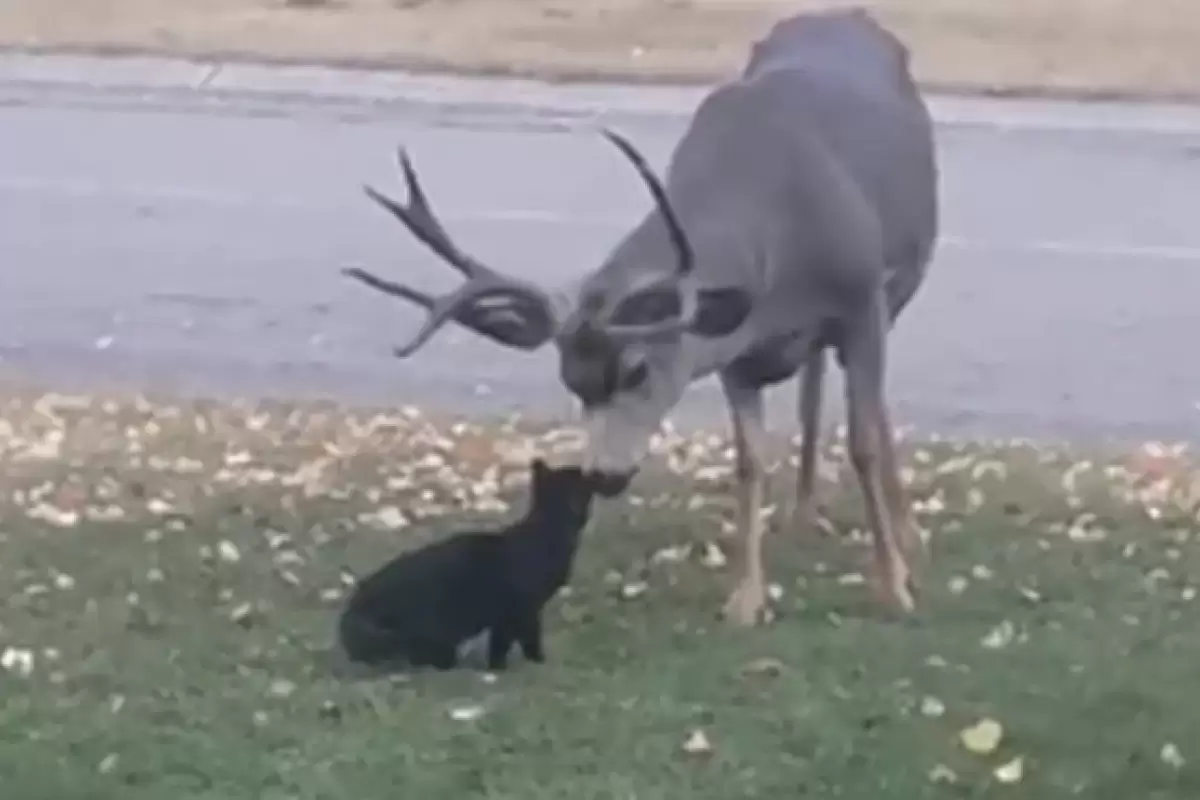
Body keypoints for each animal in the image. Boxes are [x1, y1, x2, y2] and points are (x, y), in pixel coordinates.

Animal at [338, 455, 600, 671]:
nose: (591, 471)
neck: (548, 531)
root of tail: (351, 611)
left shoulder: (510, 615)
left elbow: (503, 644)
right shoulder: (521, 610)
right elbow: (523, 641)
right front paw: (529, 664)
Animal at [343, 7, 940, 623]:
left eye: (636, 370)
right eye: (571, 382)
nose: (602, 476)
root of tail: (845, 14)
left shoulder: (861, 299)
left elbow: (864, 443)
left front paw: (893, 585)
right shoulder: (738, 351)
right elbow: (749, 463)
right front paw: (746, 599)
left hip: (896, 290)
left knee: (871, 407)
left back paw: (907, 535)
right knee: (813, 384)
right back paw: (805, 512)